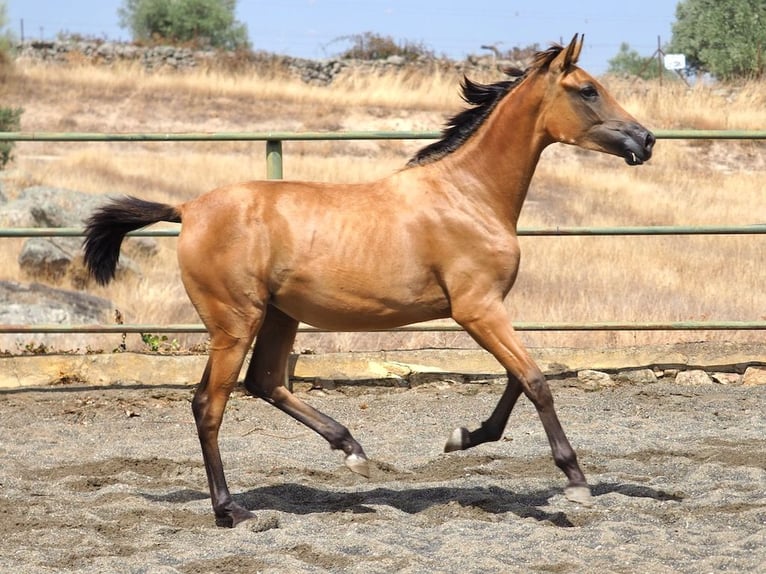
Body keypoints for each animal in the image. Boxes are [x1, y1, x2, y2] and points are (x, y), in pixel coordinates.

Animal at [83, 34, 655, 528]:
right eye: (588, 89)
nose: (646, 140)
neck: (468, 194)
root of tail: (188, 208)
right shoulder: (477, 309)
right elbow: (535, 380)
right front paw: (576, 481)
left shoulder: (488, 310)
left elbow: (519, 377)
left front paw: (462, 437)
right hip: (235, 322)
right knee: (210, 405)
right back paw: (232, 511)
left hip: (279, 316)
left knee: (264, 382)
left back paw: (353, 452)